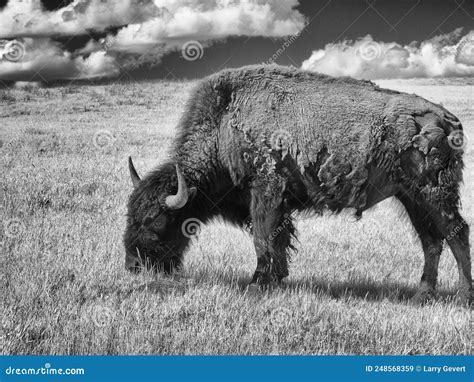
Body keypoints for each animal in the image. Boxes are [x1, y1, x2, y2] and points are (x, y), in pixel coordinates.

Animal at [124, 66, 472, 304]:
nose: (134, 266)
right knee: (431, 240)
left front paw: (256, 285)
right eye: (130, 216)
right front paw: (276, 280)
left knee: (456, 232)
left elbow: (264, 238)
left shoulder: (266, 193)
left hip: (434, 193)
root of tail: (448, 119)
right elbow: (276, 241)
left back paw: (463, 295)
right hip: (411, 197)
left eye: (158, 221)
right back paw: (422, 294)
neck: (224, 122)